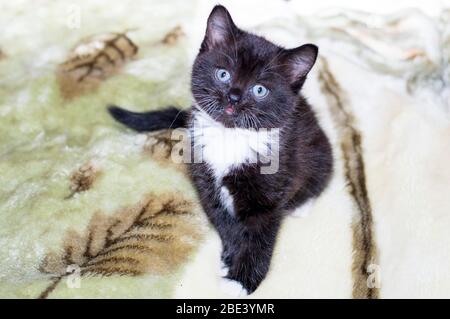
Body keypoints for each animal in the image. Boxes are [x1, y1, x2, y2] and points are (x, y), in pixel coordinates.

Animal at [110, 5, 330, 296]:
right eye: (223, 74)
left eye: (260, 90)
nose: (233, 97)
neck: (230, 136)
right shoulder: (205, 181)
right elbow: (225, 223)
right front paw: (230, 257)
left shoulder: (269, 194)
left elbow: (260, 237)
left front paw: (243, 280)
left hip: (320, 151)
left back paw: (301, 205)